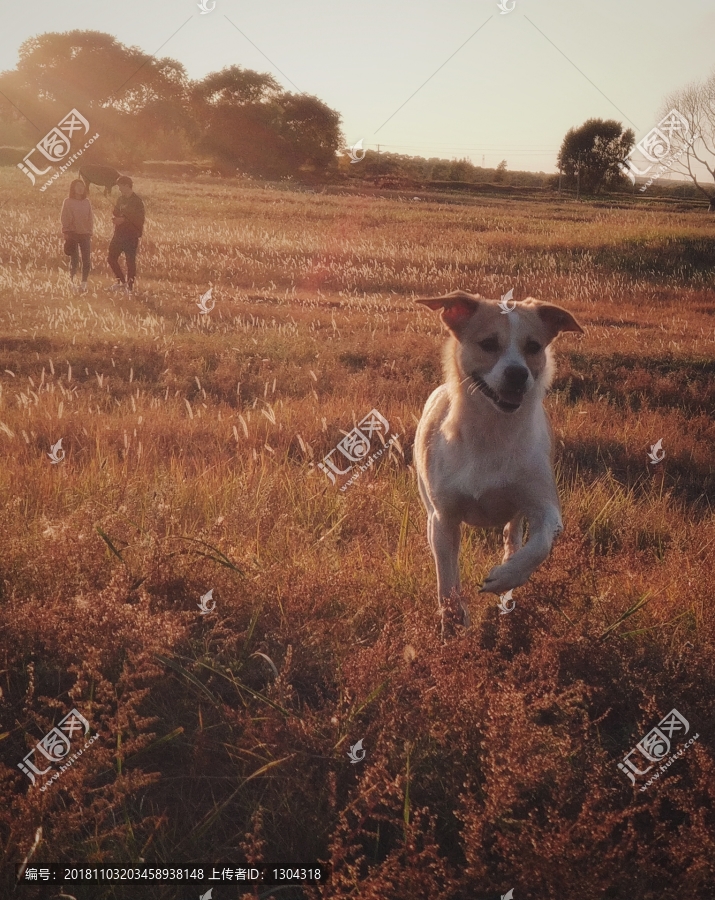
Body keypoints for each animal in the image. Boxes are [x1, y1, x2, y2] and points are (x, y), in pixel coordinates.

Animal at [416, 290, 584, 632]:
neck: (492, 432)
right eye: (488, 343)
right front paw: (453, 622)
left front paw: (507, 576)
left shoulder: (545, 505)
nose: (517, 374)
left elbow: (541, 544)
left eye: (533, 346)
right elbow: (447, 579)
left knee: (513, 534)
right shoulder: (445, 519)